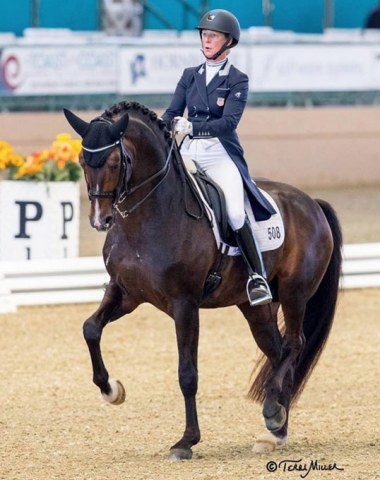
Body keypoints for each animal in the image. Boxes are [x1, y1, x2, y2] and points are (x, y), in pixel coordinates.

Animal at [63, 101, 342, 462]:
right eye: (82, 161)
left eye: (114, 161)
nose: (100, 220)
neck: (148, 217)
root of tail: (311, 203)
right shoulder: (125, 293)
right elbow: (90, 329)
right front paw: (111, 390)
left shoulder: (185, 305)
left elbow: (187, 373)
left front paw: (186, 441)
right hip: (255, 307)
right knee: (278, 351)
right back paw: (275, 427)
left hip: (295, 295)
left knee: (294, 345)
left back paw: (272, 414)